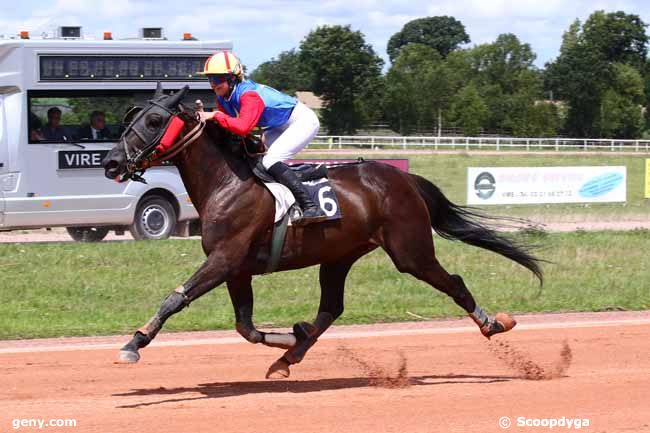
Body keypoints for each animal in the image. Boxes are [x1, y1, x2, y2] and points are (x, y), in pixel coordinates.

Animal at [101, 82, 540, 376]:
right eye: (130, 117)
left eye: (154, 120)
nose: (111, 162)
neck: (226, 182)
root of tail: (403, 179)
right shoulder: (237, 269)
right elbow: (245, 327)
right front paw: (291, 336)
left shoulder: (225, 259)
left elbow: (176, 299)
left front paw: (134, 343)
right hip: (339, 256)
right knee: (331, 307)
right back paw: (289, 355)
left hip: (410, 251)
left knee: (453, 282)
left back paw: (493, 323)